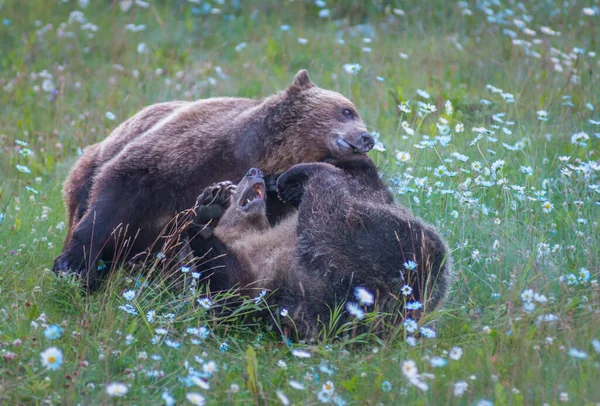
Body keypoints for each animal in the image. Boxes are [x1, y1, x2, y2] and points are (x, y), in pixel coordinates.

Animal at [52, 70, 376, 292]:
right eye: (347, 110)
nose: (367, 137)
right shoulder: (185, 152)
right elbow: (118, 192)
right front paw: (73, 266)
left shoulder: (270, 200)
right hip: (86, 170)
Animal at [188, 155, 450, 340]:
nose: (254, 171)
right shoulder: (261, 282)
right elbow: (228, 285)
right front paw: (207, 212)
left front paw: (213, 202)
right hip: (381, 253)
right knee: (332, 202)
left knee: (343, 195)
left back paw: (298, 176)